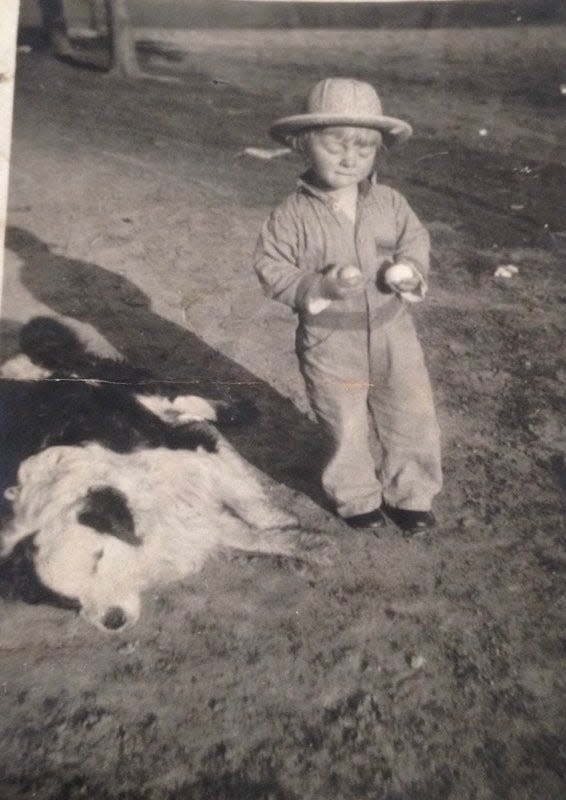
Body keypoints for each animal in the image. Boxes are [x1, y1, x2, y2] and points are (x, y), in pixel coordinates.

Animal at [1, 318, 324, 632]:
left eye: (97, 559)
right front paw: (304, 546)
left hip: (131, 388)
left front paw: (284, 524)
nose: (112, 620)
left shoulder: (192, 456)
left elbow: (248, 503)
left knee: (182, 401)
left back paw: (237, 412)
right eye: (67, 601)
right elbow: (246, 535)